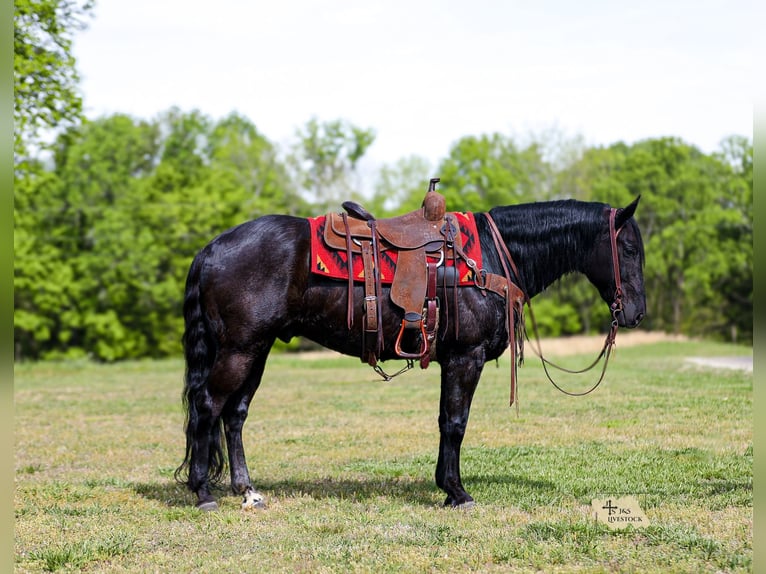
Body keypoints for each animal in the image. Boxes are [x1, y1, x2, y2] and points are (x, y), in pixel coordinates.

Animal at [174, 196, 646, 510]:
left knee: (234, 415)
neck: (489, 257)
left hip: (257, 349)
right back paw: (203, 491)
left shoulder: (451, 360)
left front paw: (445, 486)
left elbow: (444, 422)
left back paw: (247, 490)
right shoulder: (465, 358)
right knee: (207, 406)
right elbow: (455, 423)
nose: (636, 312)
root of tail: (211, 248)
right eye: (629, 249)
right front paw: (457, 492)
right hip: (239, 349)